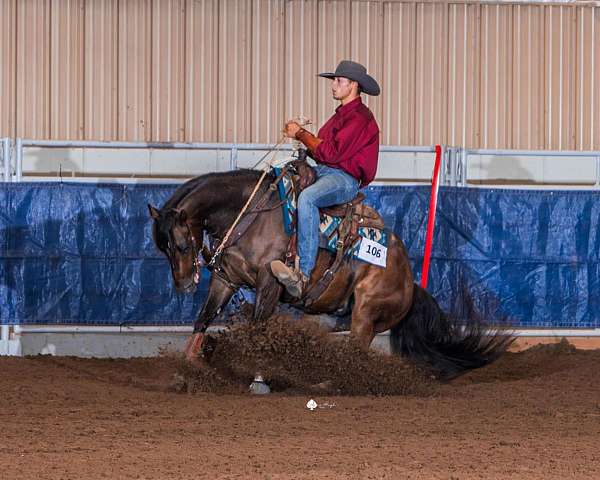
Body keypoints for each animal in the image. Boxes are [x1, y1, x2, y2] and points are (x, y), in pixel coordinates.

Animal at [149, 168, 510, 378]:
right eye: (161, 247)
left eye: (181, 244)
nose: (183, 285)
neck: (250, 211)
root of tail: (410, 281)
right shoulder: (226, 280)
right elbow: (204, 317)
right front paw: (190, 363)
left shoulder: (269, 283)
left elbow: (258, 327)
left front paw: (257, 373)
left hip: (366, 312)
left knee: (357, 354)